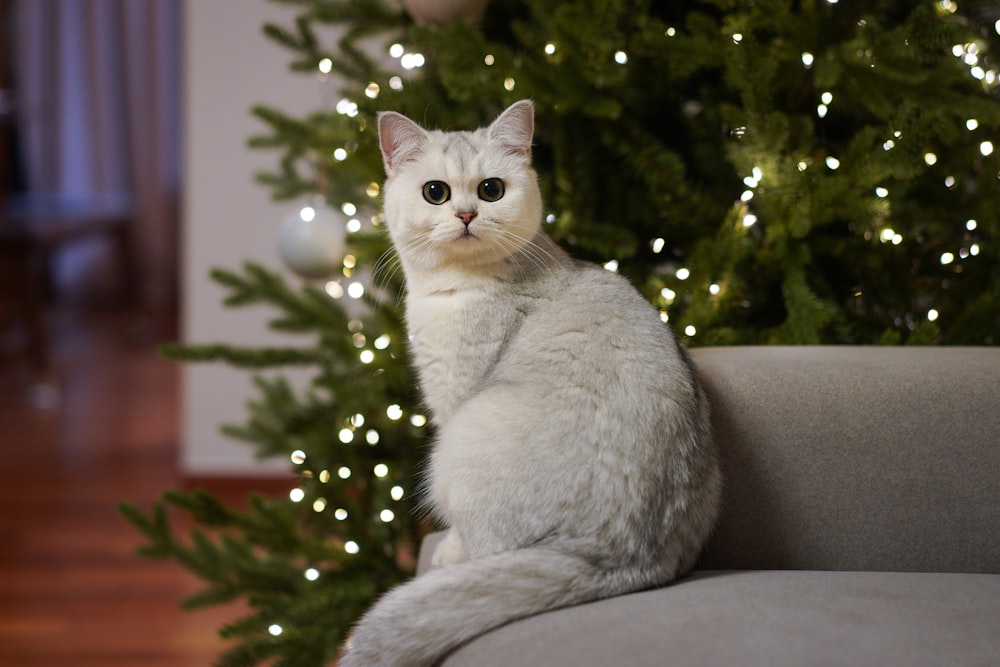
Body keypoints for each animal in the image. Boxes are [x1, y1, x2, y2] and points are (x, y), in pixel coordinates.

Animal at [340, 100, 724, 667]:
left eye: (491, 189)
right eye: (436, 192)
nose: (466, 215)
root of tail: (619, 552)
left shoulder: (452, 399)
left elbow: (456, 535)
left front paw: (446, 549)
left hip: (456, 447)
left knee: (482, 549)